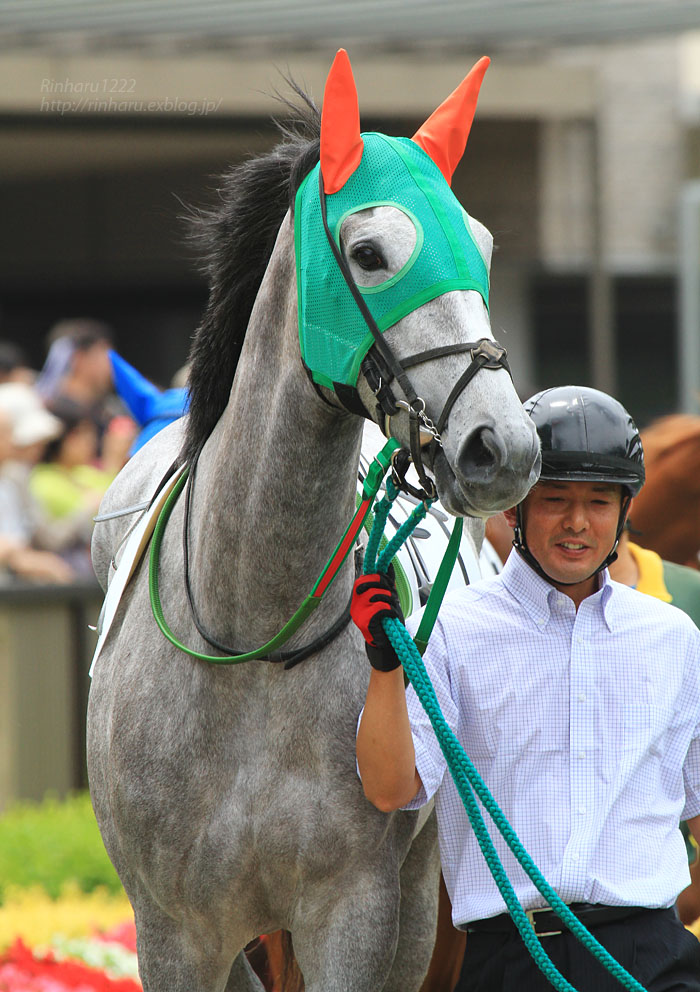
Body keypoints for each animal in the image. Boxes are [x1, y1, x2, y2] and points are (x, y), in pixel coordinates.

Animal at [86, 54, 536, 992]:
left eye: (479, 248)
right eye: (369, 255)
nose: (503, 446)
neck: (250, 637)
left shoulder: (354, 908)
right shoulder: (175, 931)